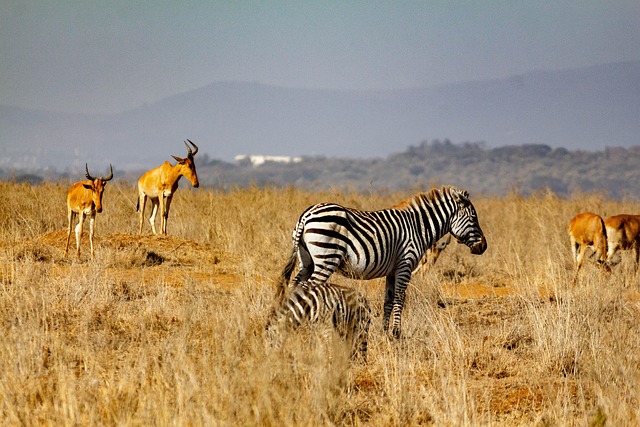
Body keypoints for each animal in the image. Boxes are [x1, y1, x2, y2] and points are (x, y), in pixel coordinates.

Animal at [277, 186, 487, 338]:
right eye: (474, 218)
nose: (484, 247)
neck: (419, 227)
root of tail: (306, 215)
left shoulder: (392, 270)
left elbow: (388, 300)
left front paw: (385, 331)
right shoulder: (405, 264)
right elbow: (400, 298)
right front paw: (396, 333)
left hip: (307, 261)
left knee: (295, 286)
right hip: (325, 259)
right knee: (309, 289)